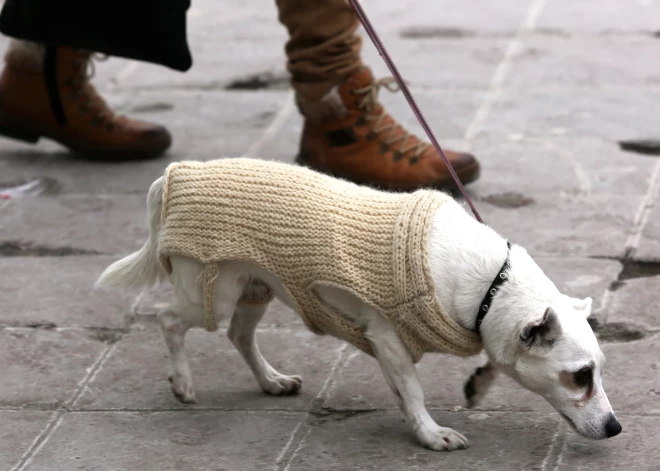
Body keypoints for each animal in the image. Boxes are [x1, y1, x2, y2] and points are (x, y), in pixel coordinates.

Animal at [95, 159, 620, 454]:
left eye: (597, 371)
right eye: (579, 377)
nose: (616, 428)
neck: (493, 284)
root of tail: (175, 174)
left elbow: (493, 357)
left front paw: (477, 384)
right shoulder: (388, 337)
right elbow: (412, 392)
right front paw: (430, 435)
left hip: (255, 288)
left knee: (239, 336)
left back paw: (271, 381)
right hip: (213, 292)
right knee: (168, 320)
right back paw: (182, 382)